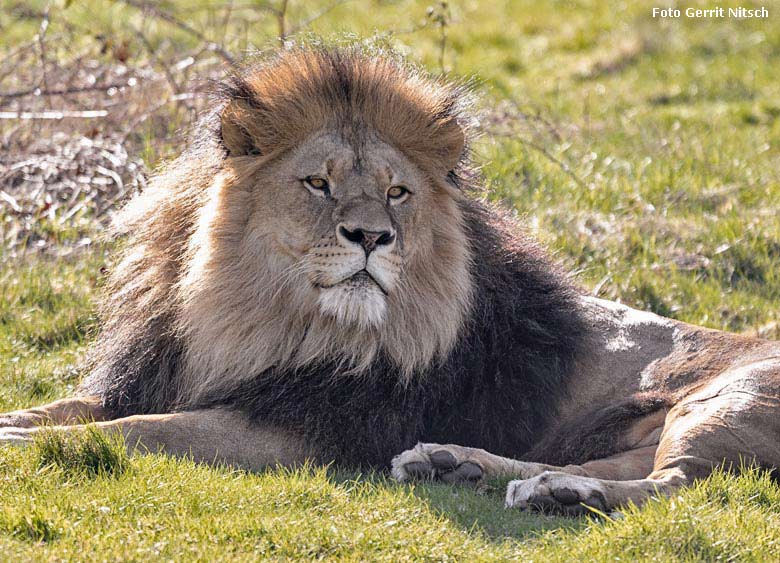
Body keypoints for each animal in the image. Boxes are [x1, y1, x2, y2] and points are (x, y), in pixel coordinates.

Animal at [1, 46, 780, 516]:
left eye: (397, 192)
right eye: (317, 184)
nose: (372, 236)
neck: (251, 315)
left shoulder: (306, 432)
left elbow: (145, 431)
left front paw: (19, 441)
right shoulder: (154, 376)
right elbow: (73, 407)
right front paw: (20, 420)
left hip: (725, 403)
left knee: (678, 486)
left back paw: (558, 492)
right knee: (625, 467)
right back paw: (459, 464)